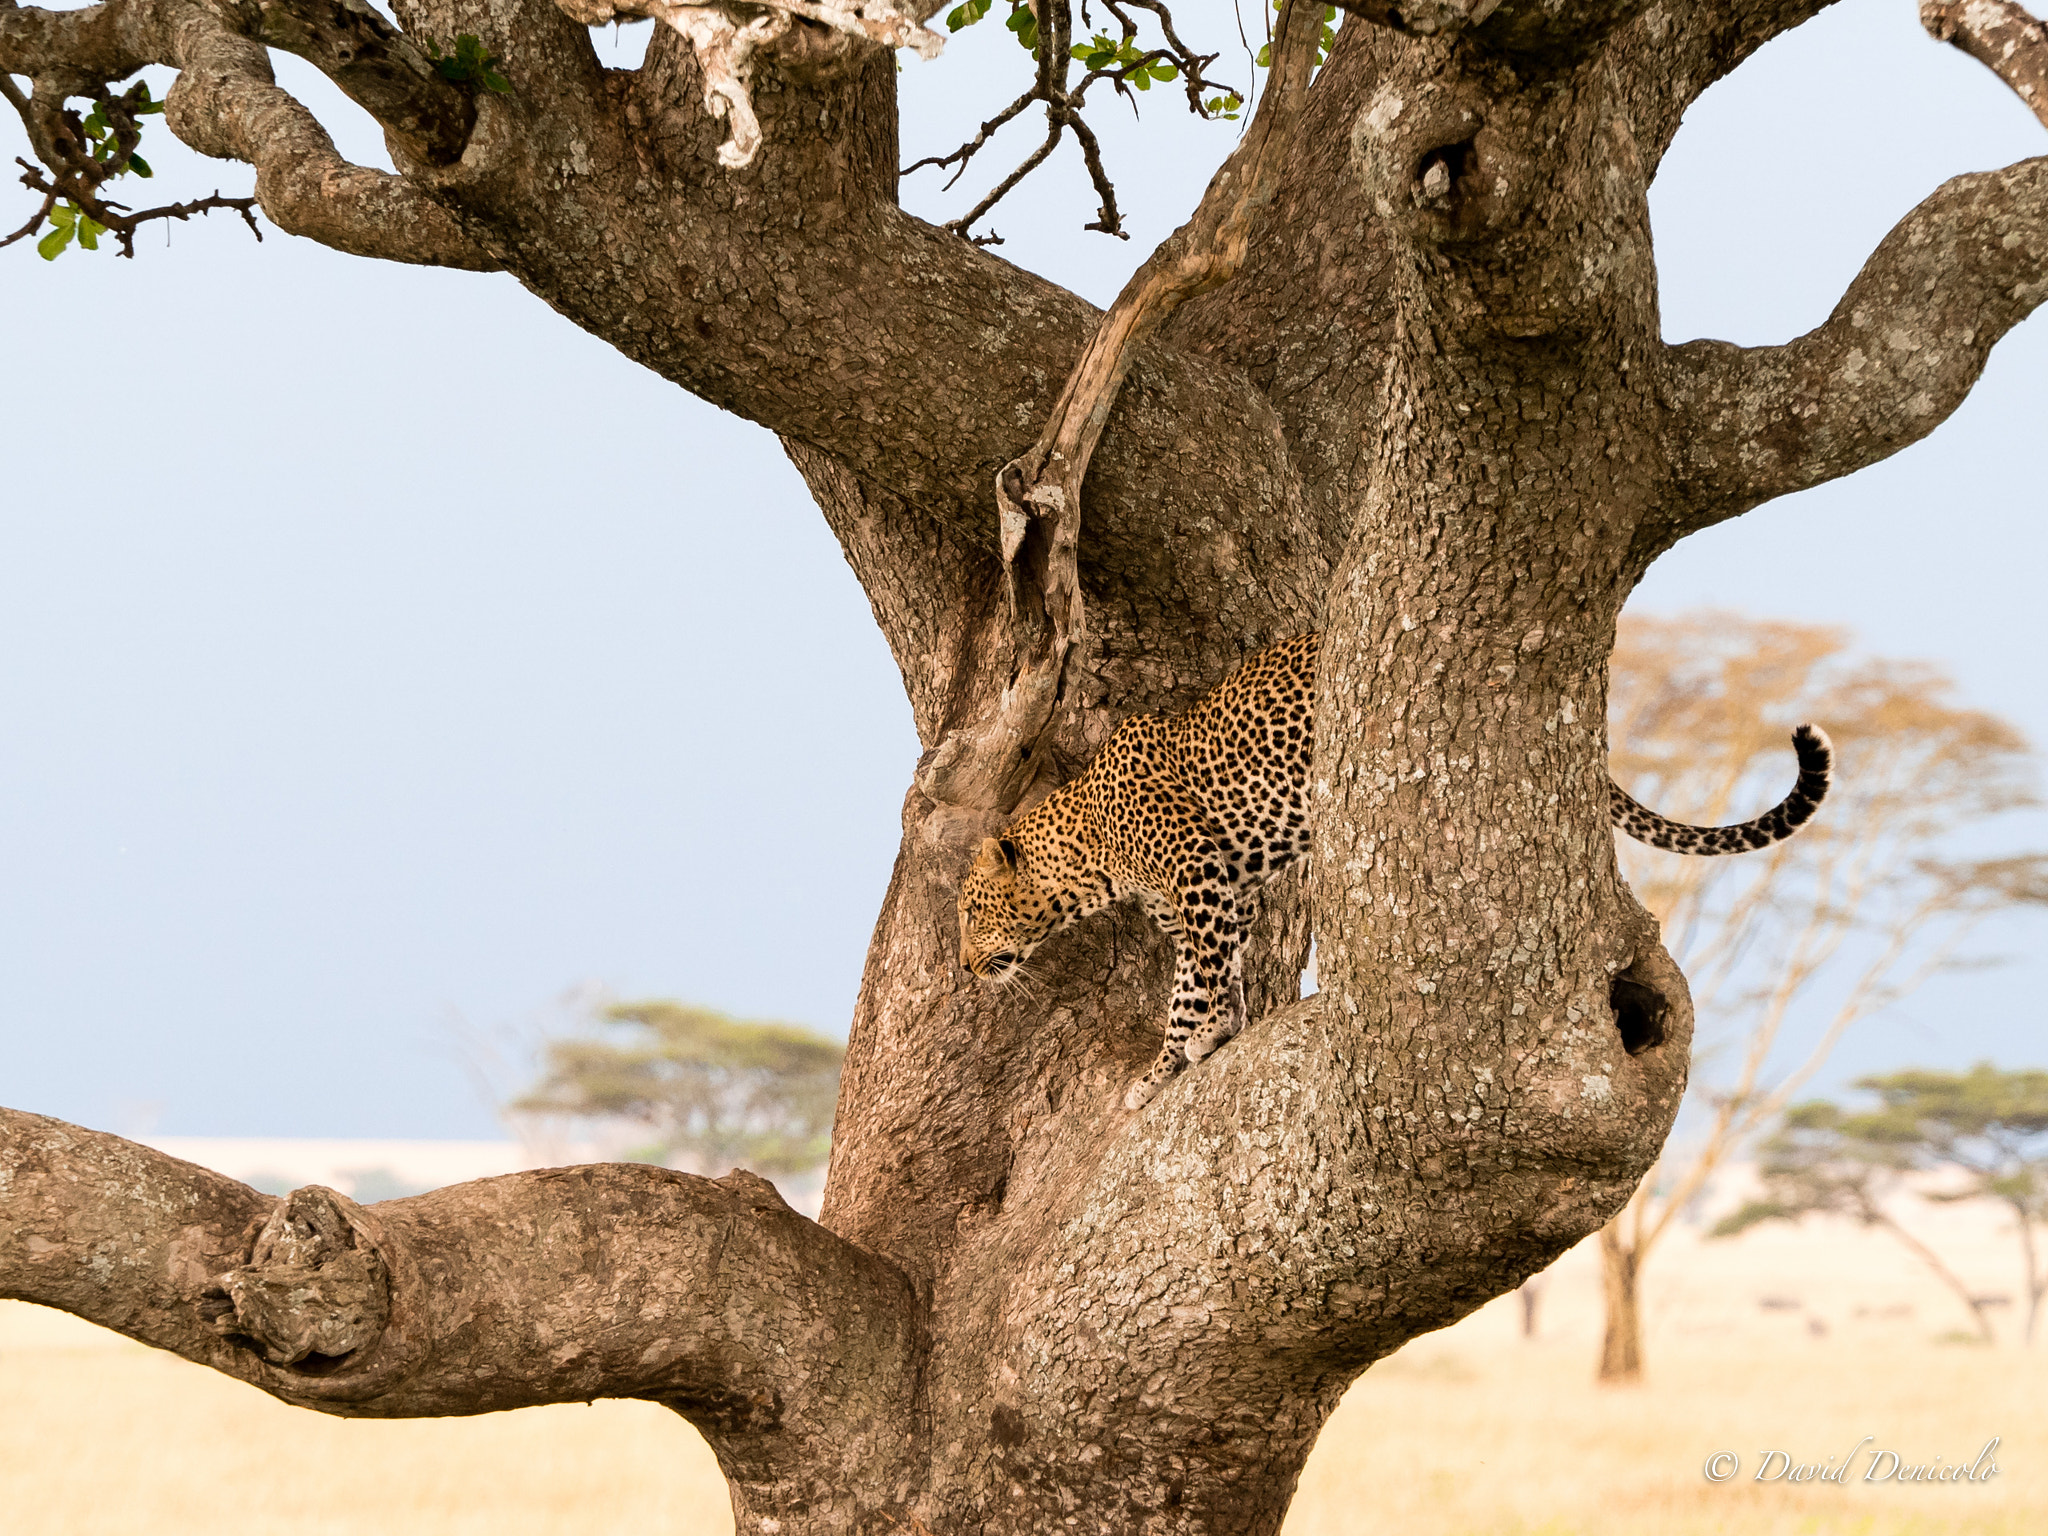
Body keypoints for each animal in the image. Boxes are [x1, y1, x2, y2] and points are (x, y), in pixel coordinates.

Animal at [958, 630, 1843, 1114]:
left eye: (969, 912)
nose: (965, 969)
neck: (1087, 855)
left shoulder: (1201, 883)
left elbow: (1189, 988)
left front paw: (1170, 1061)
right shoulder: (1218, 896)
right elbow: (1218, 971)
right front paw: (1221, 1032)